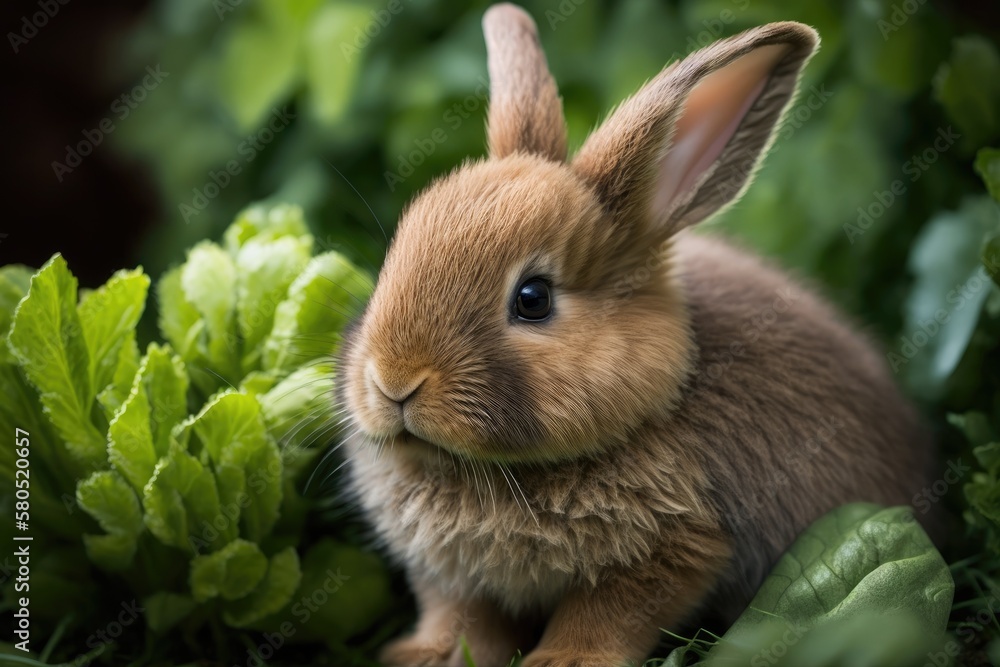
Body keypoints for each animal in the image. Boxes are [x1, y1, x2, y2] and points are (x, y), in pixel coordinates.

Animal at [338, 5, 936, 667]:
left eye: (533, 299)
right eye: (390, 260)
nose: (393, 382)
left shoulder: (672, 551)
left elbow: (604, 616)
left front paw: (562, 661)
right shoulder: (454, 580)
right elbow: (462, 618)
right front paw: (425, 655)